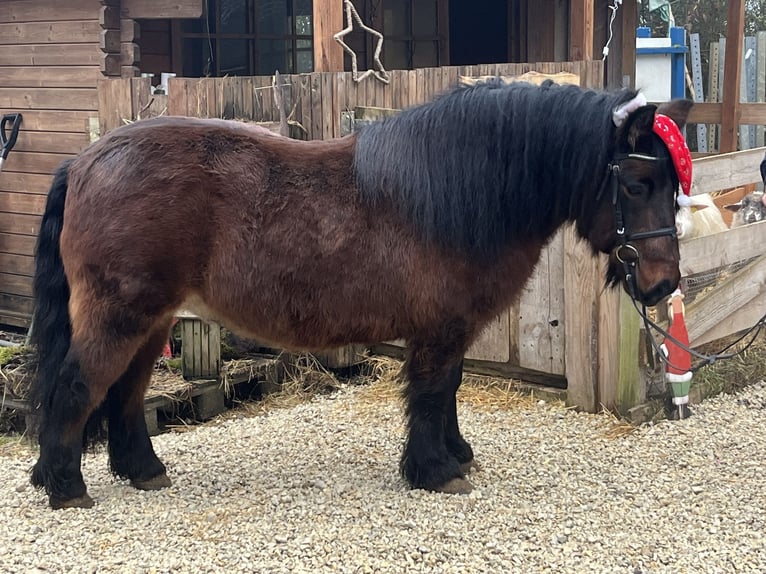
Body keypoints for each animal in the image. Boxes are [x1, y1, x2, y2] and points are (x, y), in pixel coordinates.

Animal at [29, 78, 692, 509]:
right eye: (638, 183)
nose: (664, 283)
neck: (458, 192)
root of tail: (84, 162)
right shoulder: (439, 330)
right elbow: (431, 393)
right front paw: (434, 470)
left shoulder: (448, 330)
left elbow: (449, 390)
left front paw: (455, 453)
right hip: (120, 316)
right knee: (78, 385)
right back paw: (65, 487)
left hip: (152, 320)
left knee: (125, 394)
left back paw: (141, 470)